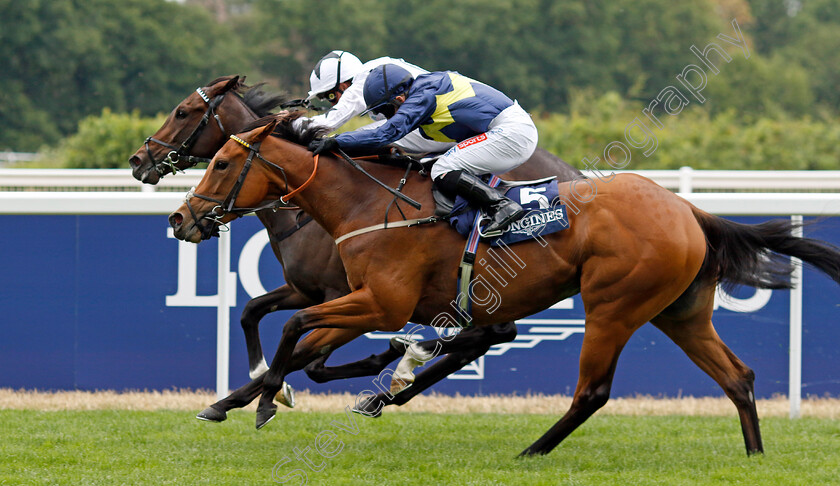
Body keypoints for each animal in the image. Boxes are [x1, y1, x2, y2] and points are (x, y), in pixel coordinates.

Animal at [126, 77, 584, 406]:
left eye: (182, 112)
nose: (137, 159)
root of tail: (575, 175)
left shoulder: (351, 295)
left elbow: (308, 359)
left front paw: (257, 394)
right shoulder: (308, 289)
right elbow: (253, 311)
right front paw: (263, 379)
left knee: (491, 333)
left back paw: (403, 364)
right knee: (492, 335)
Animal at [169, 117, 840, 456]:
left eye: (221, 162)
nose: (180, 218)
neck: (366, 203)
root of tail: (687, 210)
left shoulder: (377, 301)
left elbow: (293, 330)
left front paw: (262, 399)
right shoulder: (361, 301)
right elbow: (293, 334)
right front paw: (261, 395)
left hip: (614, 305)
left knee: (593, 391)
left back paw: (531, 453)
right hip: (679, 312)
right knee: (738, 377)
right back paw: (755, 457)